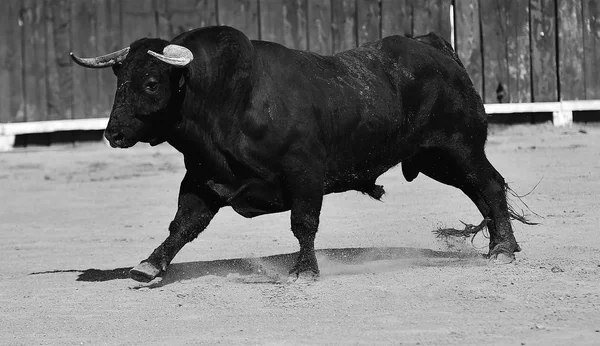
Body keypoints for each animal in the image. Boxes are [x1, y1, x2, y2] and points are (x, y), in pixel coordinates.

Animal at [72, 26, 528, 282]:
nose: (113, 133)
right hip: (437, 160)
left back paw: (503, 250)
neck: (229, 100)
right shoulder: (204, 179)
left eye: (151, 83)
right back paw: (500, 246)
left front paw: (305, 270)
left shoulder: (304, 174)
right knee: (480, 192)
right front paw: (149, 266)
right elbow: (183, 225)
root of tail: (435, 49)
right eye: (119, 82)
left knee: (490, 185)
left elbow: (303, 223)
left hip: (459, 147)